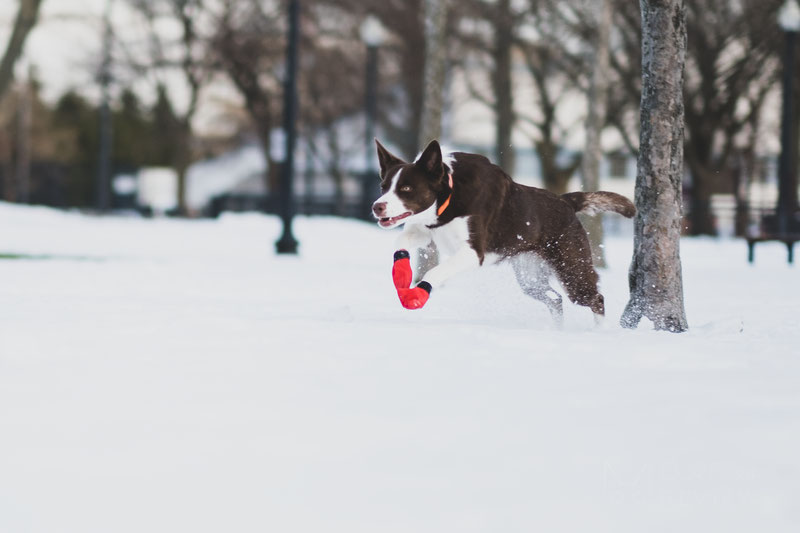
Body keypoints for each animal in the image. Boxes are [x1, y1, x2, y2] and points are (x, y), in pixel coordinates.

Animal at [372, 137, 636, 322]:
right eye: (384, 186)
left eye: (406, 188)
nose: (377, 207)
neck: (448, 196)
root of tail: (566, 202)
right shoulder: (425, 232)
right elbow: (400, 242)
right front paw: (402, 274)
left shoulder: (473, 252)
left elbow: (435, 271)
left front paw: (417, 295)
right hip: (530, 276)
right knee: (555, 300)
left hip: (571, 268)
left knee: (596, 299)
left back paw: (598, 333)